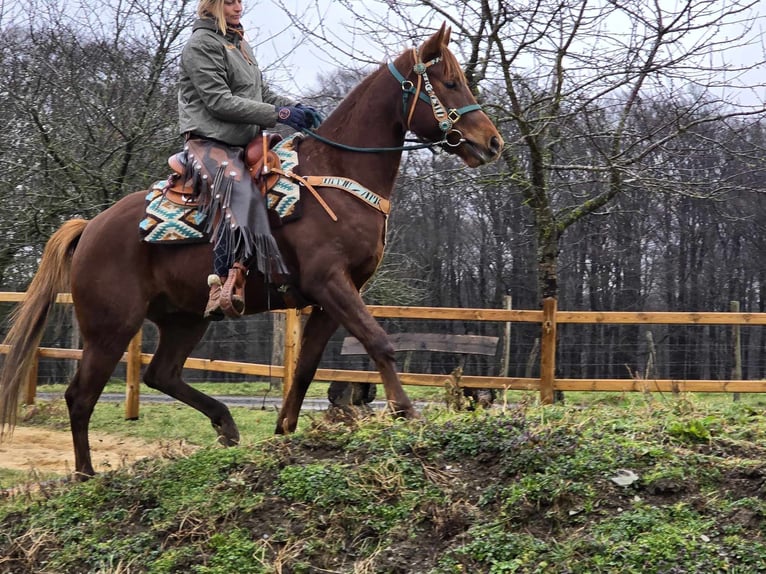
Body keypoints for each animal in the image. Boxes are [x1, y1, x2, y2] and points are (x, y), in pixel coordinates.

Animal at [0, 23, 504, 482]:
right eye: (450, 82)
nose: (492, 142)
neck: (338, 174)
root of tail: (91, 228)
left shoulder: (332, 297)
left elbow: (305, 369)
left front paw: (284, 432)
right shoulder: (330, 282)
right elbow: (379, 342)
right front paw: (406, 412)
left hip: (186, 318)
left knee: (161, 375)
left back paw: (224, 424)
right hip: (111, 327)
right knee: (81, 396)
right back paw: (86, 476)